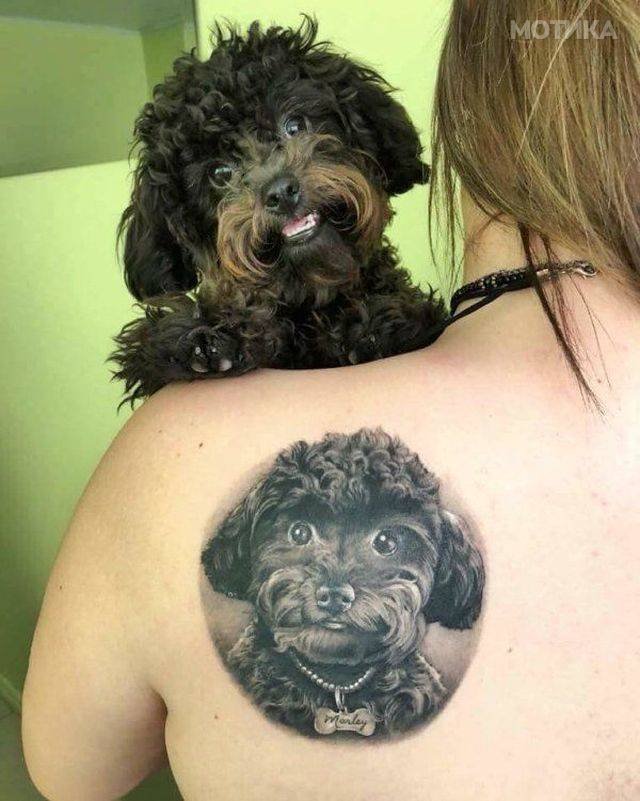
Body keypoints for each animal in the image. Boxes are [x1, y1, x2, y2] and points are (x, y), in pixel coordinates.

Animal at [111, 18, 447, 404]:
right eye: (219, 173)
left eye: (295, 125)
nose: (281, 193)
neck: (311, 299)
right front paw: (203, 337)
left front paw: (375, 325)